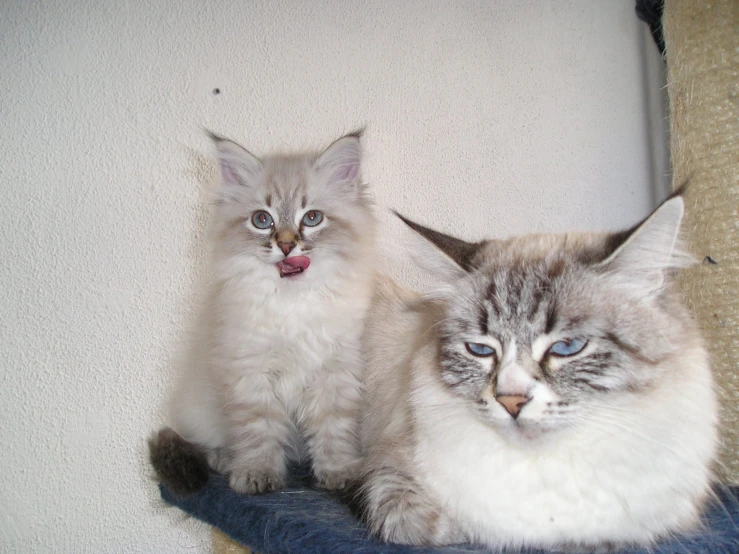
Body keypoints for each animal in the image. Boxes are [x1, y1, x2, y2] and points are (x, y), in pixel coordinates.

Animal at [150, 130, 376, 496]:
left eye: (311, 218)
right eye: (262, 220)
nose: (285, 245)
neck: (292, 302)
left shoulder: (335, 371)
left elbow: (333, 429)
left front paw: (339, 473)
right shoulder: (249, 373)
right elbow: (259, 430)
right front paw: (257, 475)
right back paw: (226, 460)